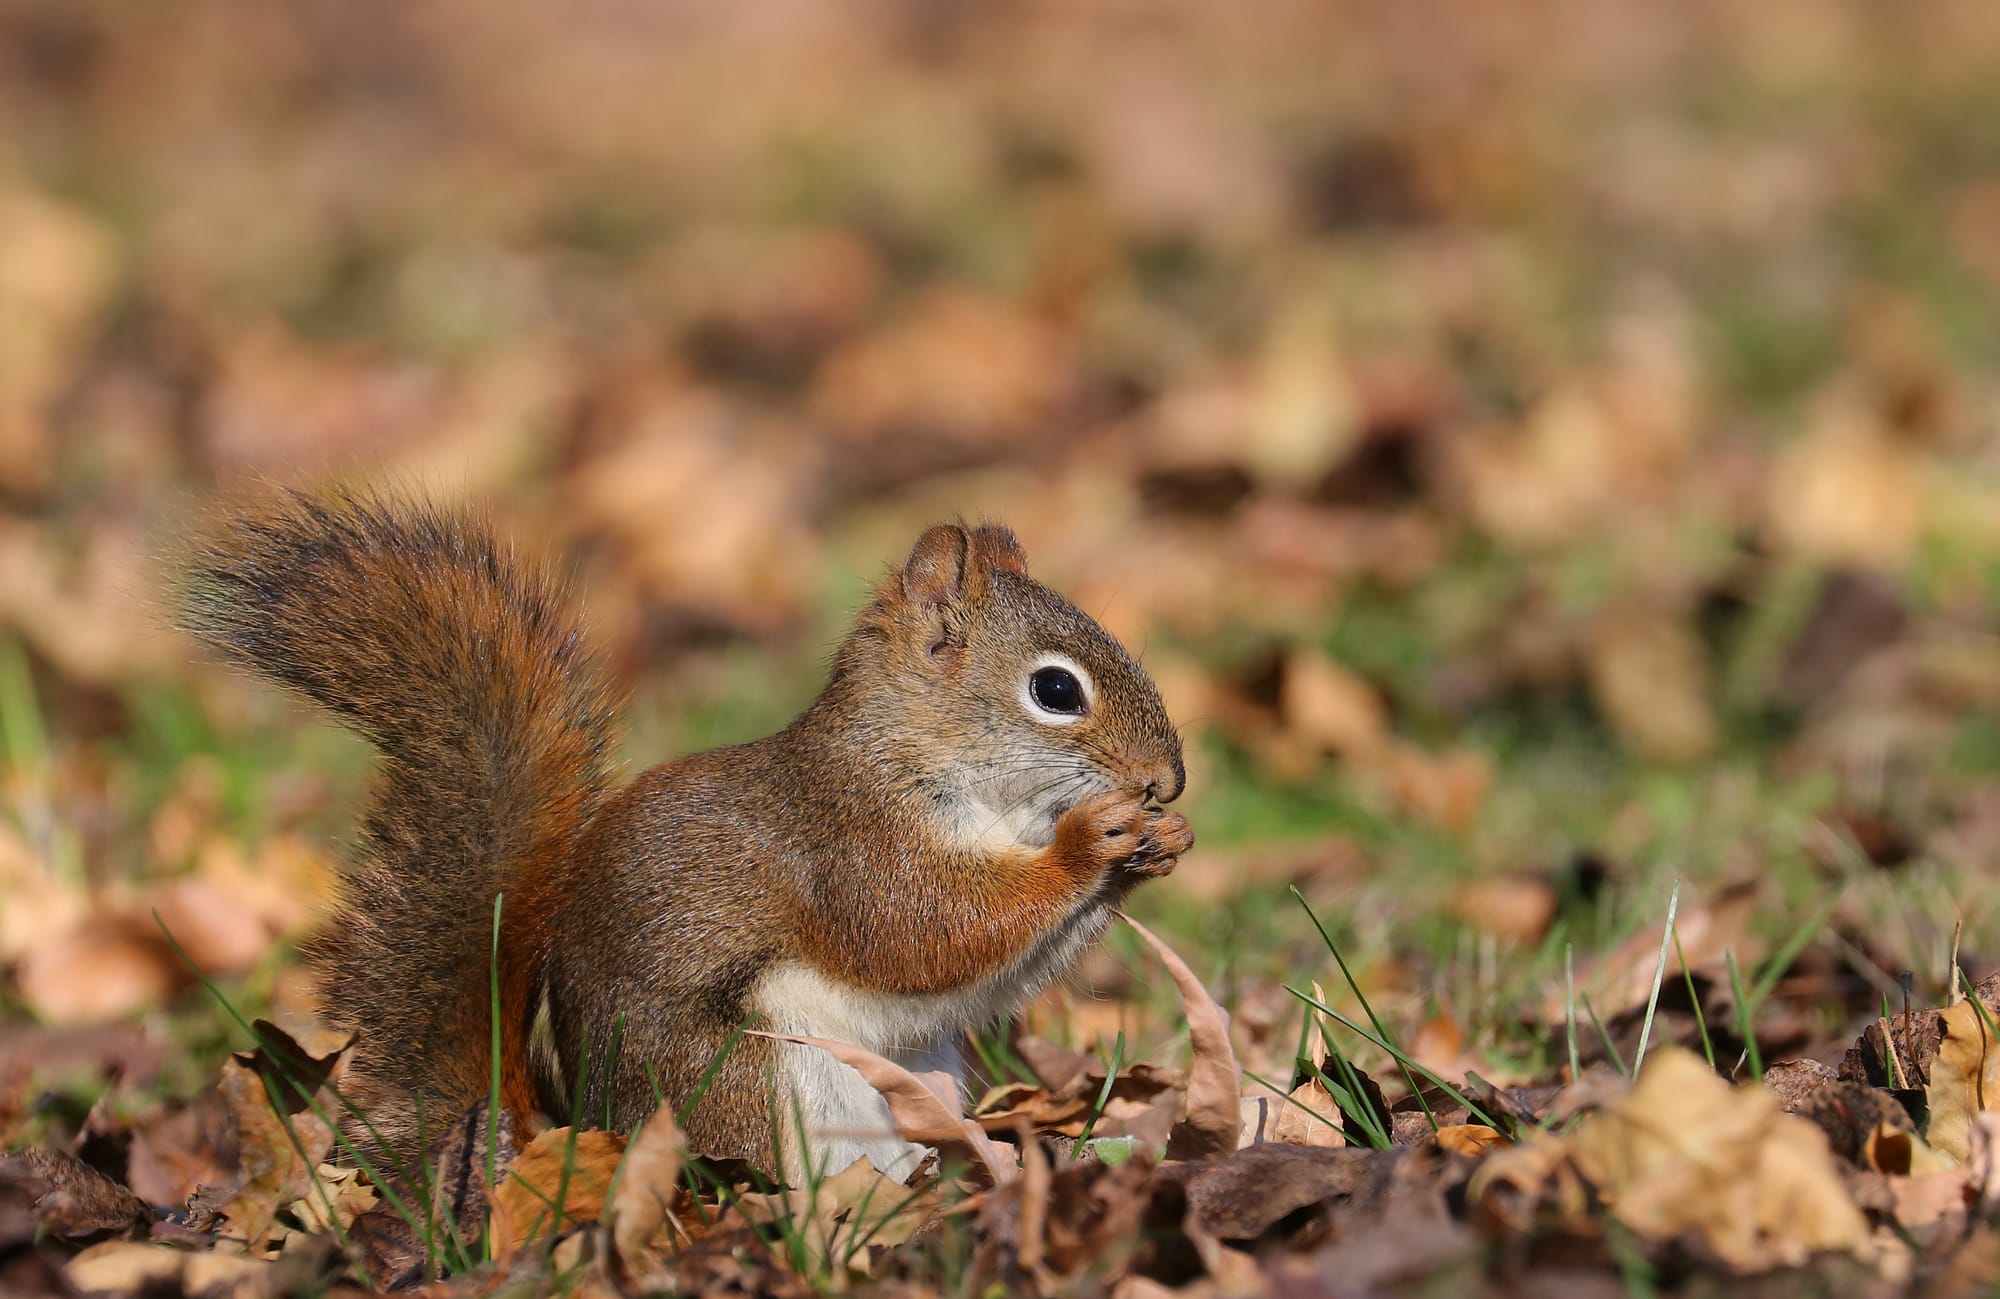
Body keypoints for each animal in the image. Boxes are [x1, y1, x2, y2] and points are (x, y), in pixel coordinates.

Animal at [176, 491, 1184, 1175]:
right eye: (1054, 689)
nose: (1167, 781)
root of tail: (581, 1133)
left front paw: (1158, 846)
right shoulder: (849, 845)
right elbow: (925, 931)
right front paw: (1091, 841)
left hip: (917, 1074)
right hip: (749, 1079)